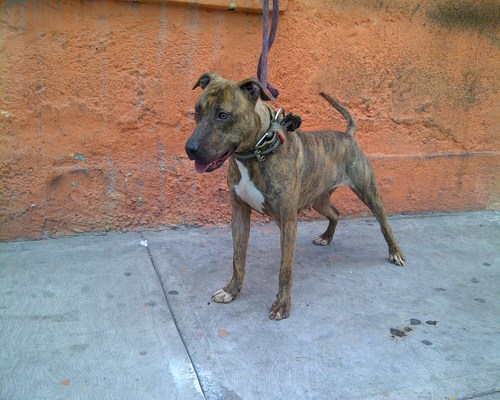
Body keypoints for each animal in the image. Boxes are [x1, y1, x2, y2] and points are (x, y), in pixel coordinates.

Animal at [185, 73, 405, 320]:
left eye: (223, 115)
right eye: (197, 110)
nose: (190, 149)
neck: (256, 152)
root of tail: (347, 136)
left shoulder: (288, 220)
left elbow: (285, 269)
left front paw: (282, 305)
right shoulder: (239, 213)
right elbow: (237, 258)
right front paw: (231, 291)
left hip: (368, 191)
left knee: (384, 224)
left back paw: (395, 252)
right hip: (319, 199)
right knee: (335, 213)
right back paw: (326, 237)